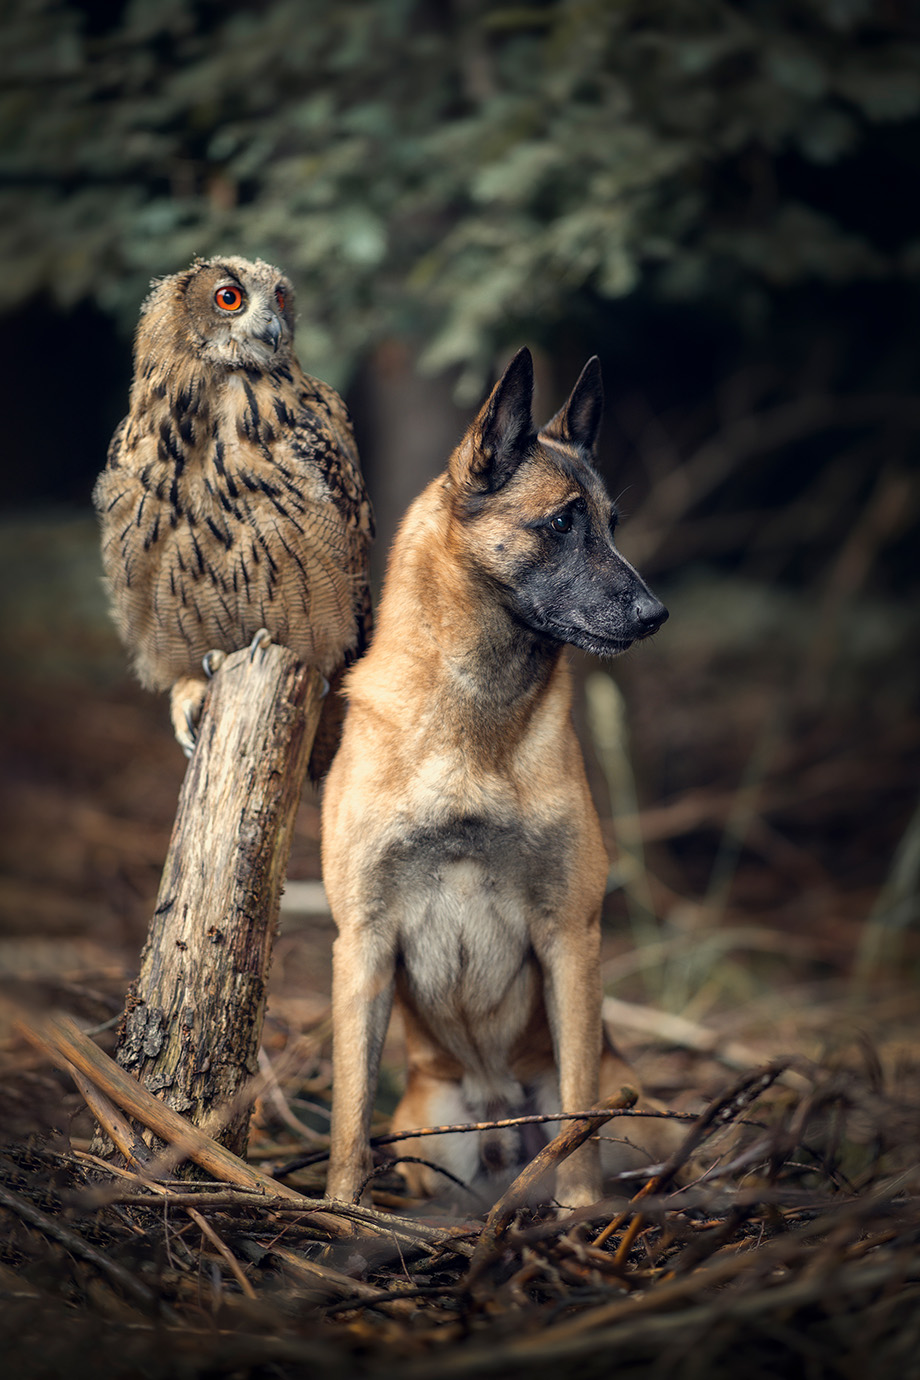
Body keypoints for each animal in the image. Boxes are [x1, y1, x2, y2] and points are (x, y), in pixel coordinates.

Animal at [324, 347, 670, 1208]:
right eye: (562, 523)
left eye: (613, 523)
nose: (656, 615)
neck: (470, 728)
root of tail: (496, 1117)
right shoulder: (362, 943)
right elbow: (347, 1113)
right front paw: (339, 1214)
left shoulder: (570, 936)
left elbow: (578, 1107)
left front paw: (579, 1213)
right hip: (430, 1135)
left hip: (639, 1116)